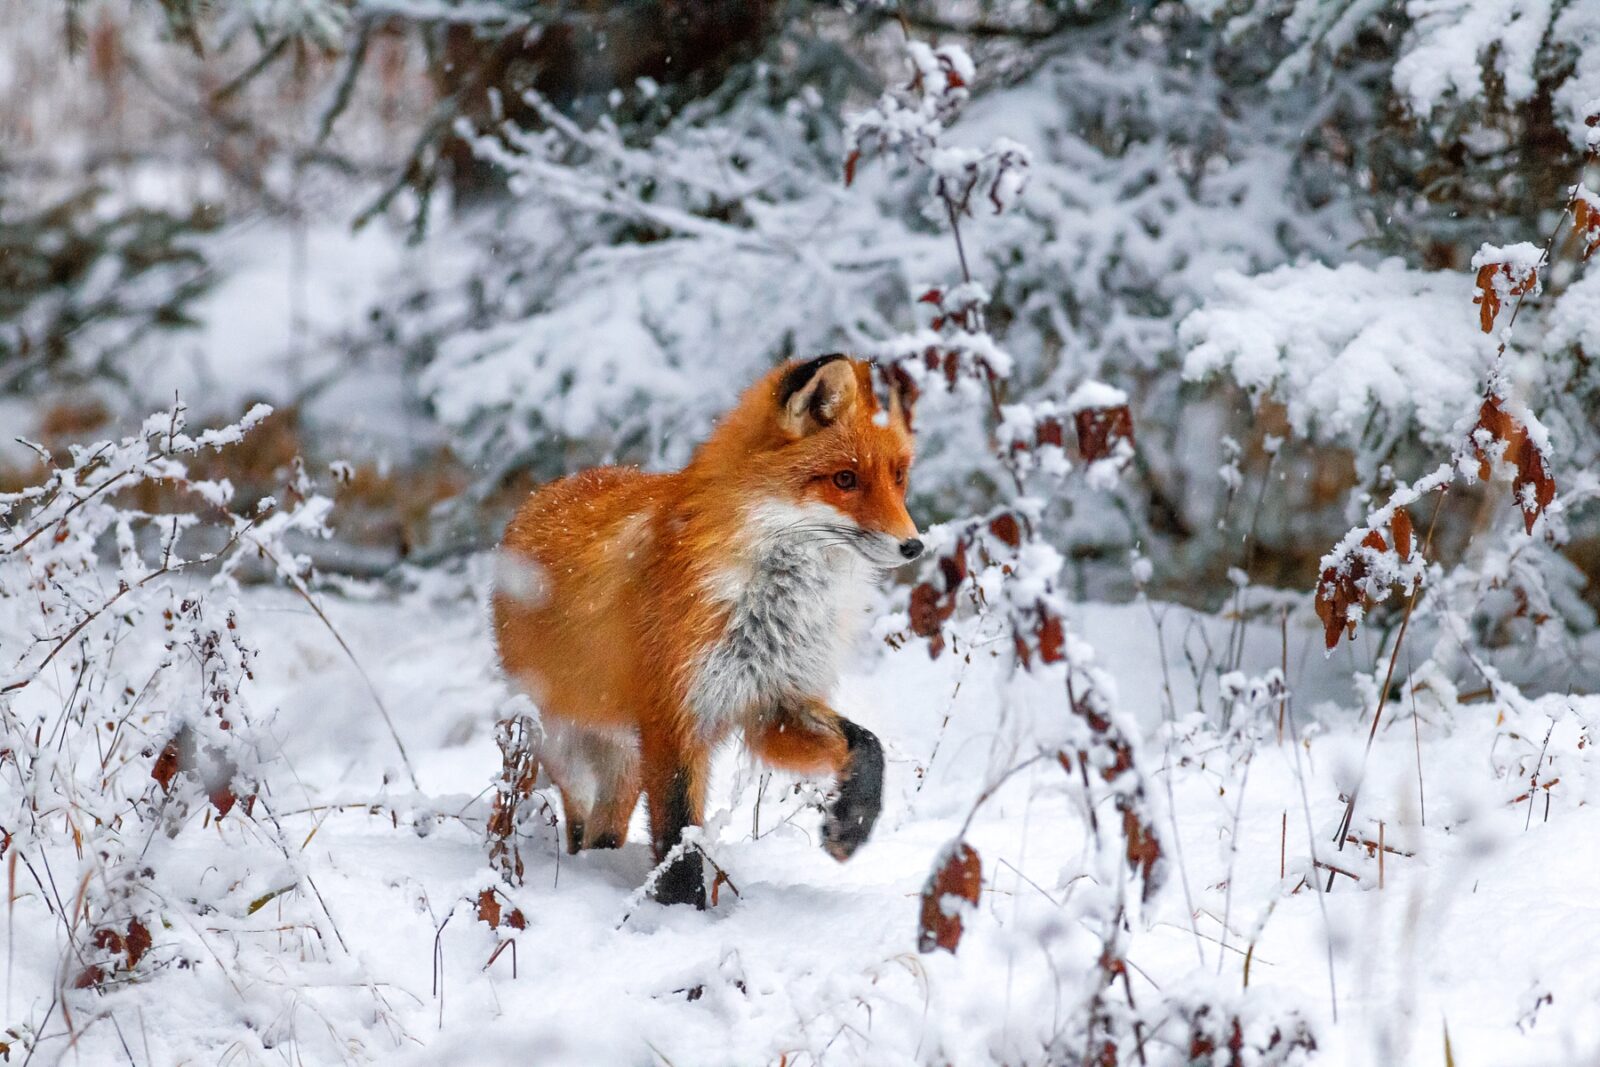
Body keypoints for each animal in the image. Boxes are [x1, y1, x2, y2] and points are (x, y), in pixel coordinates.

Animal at [486, 355, 921, 908]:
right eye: (844, 479)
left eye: (899, 477)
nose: (915, 546)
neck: (772, 605)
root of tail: (541, 494)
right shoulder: (675, 717)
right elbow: (678, 840)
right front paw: (683, 914)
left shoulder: (773, 703)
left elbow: (867, 744)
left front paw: (853, 822)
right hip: (579, 749)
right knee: (582, 825)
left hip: (626, 764)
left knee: (605, 833)